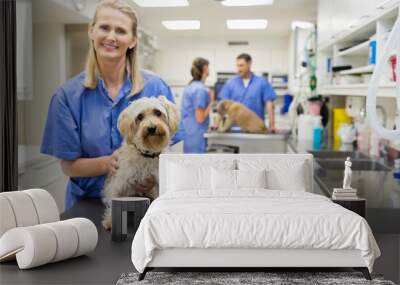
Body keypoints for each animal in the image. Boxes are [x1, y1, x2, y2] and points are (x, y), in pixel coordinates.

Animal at [101, 96, 180, 230]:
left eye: (158, 113)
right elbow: (113, 200)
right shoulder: (118, 183)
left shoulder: (157, 181)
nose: (152, 128)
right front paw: (110, 220)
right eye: (140, 117)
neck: (147, 155)